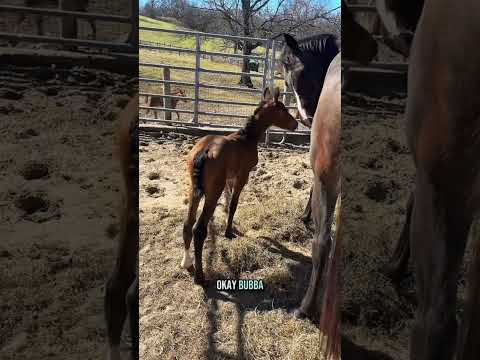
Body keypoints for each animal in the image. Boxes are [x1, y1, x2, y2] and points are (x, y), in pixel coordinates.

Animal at [182, 87, 298, 284]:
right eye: (283, 109)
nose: (296, 124)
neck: (246, 139)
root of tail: (204, 151)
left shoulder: (230, 178)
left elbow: (228, 201)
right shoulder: (242, 176)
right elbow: (234, 204)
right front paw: (229, 232)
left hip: (194, 189)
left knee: (187, 224)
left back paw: (186, 263)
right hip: (212, 191)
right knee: (199, 229)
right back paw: (200, 276)